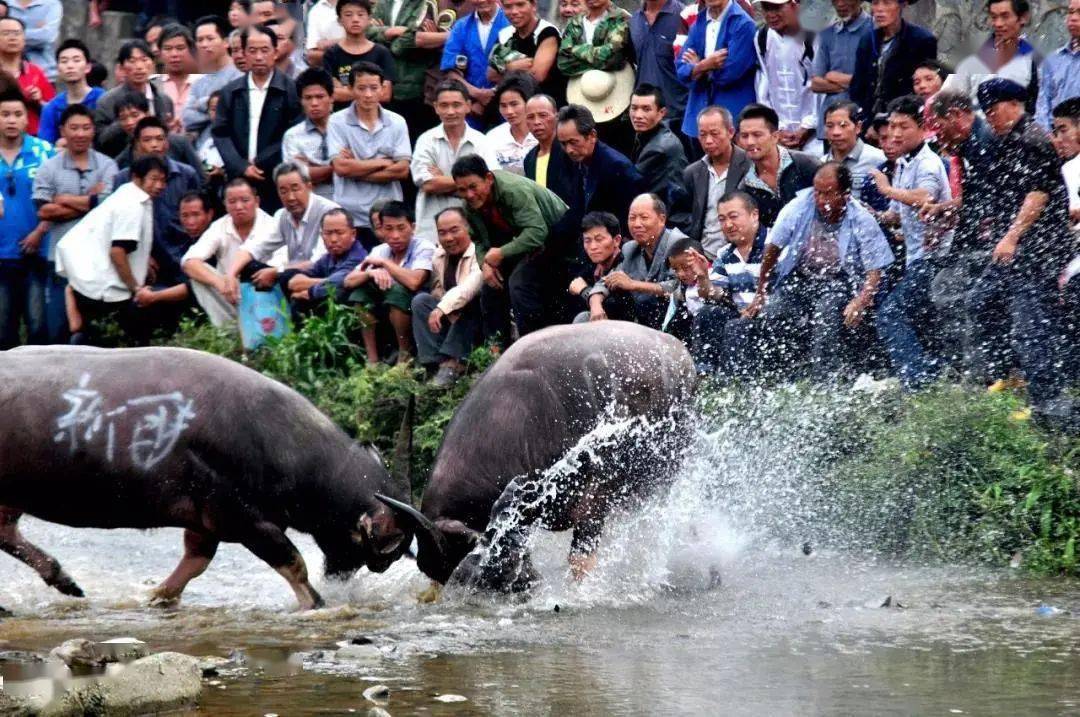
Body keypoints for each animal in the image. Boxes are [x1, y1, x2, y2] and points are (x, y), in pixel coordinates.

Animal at [0, 345, 408, 609]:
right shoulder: (241, 517)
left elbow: (194, 564)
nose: (343, 576)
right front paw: (319, 602)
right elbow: (293, 562)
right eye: (368, 546)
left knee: (7, 534)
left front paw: (153, 596)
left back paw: (64, 581)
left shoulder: (204, 522)